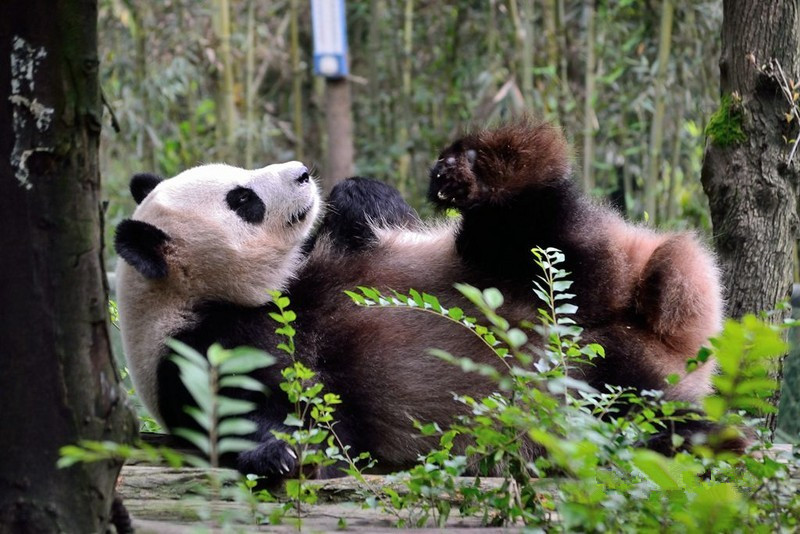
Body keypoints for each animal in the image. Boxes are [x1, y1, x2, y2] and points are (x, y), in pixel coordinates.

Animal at [117, 120, 724, 482]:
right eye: (242, 199)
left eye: (240, 177)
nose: (303, 172)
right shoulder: (196, 351)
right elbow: (266, 422)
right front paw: (278, 455)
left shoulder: (329, 254)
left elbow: (371, 215)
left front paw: (353, 192)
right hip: (596, 383)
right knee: (633, 412)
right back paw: (704, 438)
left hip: (549, 282)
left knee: (531, 239)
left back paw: (486, 168)